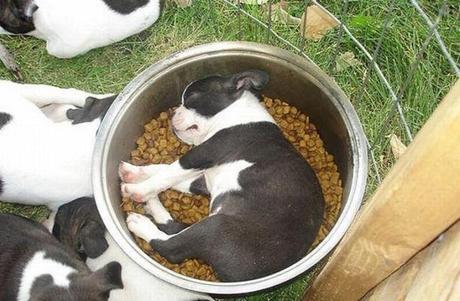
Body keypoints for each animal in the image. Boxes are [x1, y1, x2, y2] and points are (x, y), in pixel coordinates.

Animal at [120, 69, 326, 280]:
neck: (233, 113)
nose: (174, 114)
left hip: (216, 227)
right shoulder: (204, 178)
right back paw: (153, 204)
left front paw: (137, 190)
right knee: (174, 229)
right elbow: (163, 170)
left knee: (171, 247)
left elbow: (169, 172)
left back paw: (140, 223)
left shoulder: (203, 153)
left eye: (191, 98)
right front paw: (133, 173)